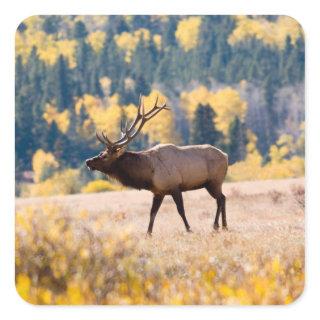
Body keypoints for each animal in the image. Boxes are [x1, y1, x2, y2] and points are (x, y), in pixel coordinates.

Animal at [86, 95, 229, 235]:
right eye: (101, 152)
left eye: (104, 156)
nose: (88, 161)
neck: (148, 175)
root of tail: (226, 156)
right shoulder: (158, 192)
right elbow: (152, 213)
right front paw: (148, 233)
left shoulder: (174, 186)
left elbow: (180, 210)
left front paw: (189, 229)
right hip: (211, 183)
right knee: (223, 198)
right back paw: (224, 226)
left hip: (214, 181)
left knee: (220, 199)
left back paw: (216, 225)